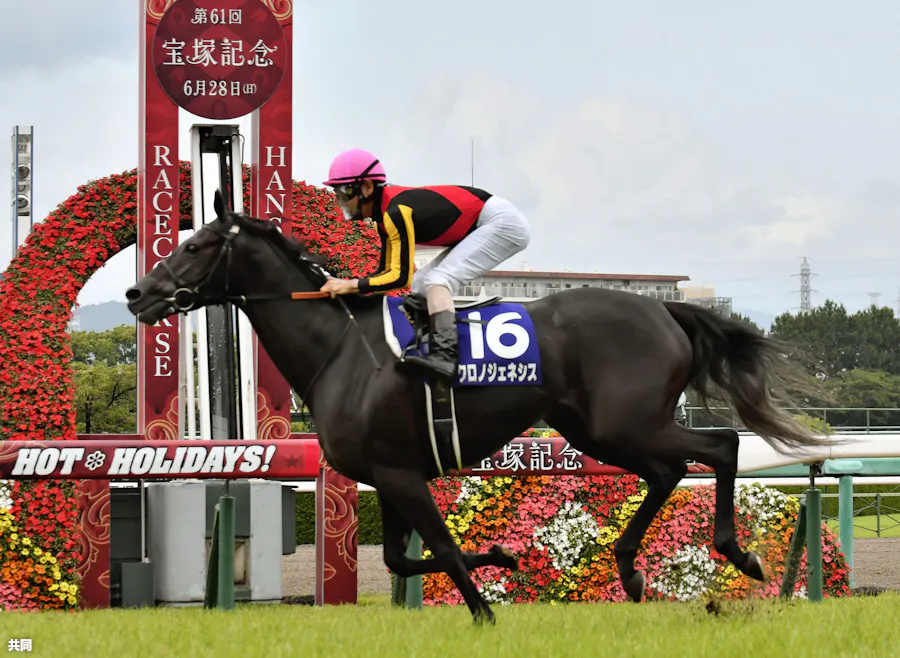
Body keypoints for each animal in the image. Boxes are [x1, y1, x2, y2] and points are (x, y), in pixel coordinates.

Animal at [126, 190, 831, 624]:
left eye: (194, 246)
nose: (137, 294)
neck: (341, 351)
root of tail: (664, 309)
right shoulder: (388, 474)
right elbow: (404, 556)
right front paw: (503, 559)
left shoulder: (400, 472)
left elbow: (438, 544)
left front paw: (486, 609)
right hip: (598, 429)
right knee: (669, 470)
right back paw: (631, 571)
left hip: (623, 421)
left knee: (719, 447)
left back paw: (737, 553)